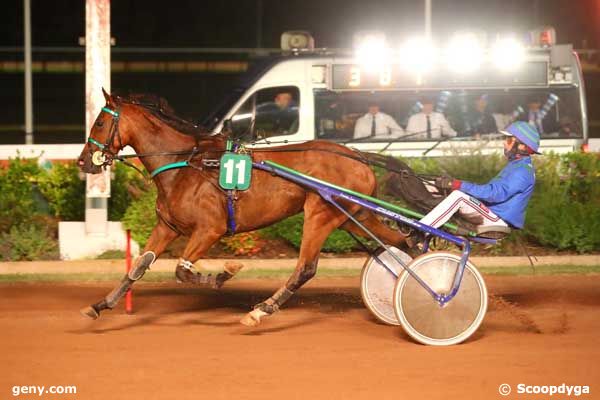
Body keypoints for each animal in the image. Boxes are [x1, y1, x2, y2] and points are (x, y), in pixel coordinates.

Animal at [76, 89, 412, 326]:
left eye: (100, 122)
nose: (82, 161)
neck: (185, 165)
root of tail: (359, 156)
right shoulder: (167, 227)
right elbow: (137, 268)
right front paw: (99, 306)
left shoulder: (210, 229)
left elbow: (183, 271)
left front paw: (223, 274)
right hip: (354, 216)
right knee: (402, 242)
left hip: (321, 214)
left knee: (305, 268)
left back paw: (262, 310)